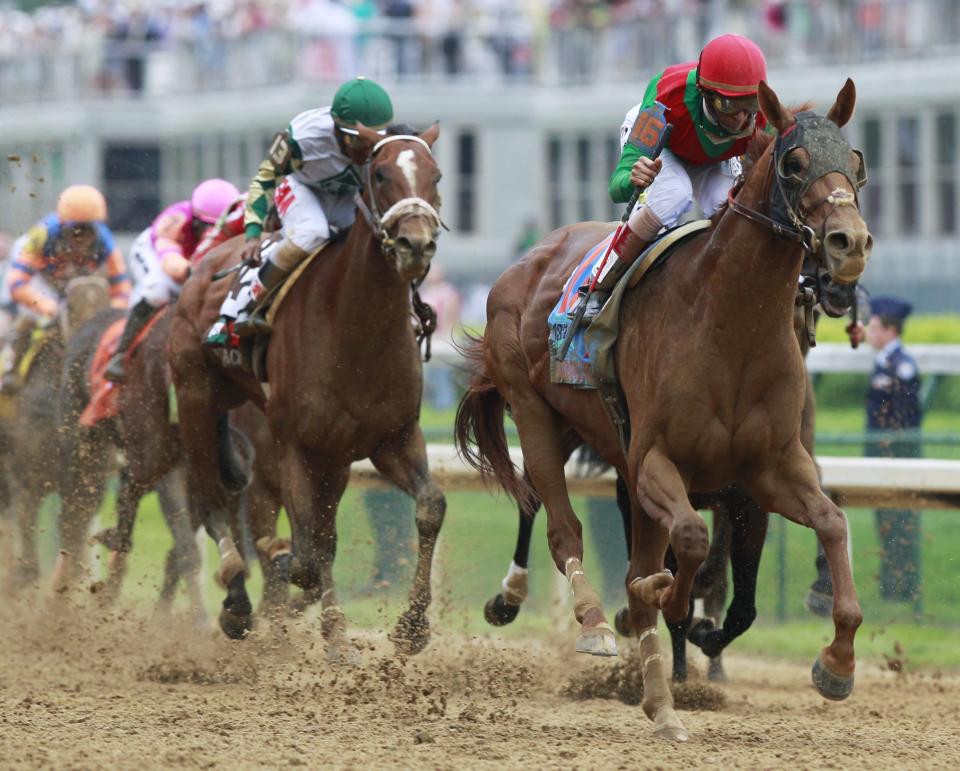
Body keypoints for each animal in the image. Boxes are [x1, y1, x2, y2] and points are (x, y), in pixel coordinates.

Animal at [169, 123, 446, 656]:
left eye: (436, 174)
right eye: (380, 175)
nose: (415, 245)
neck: (357, 331)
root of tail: (205, 263)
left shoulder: (392, 438)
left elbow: (429, 507)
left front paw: (412, 627)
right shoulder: (295, 443)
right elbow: (308, 554)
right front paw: (292, 583)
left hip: (323, 452)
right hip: (196, 396)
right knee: (212, 496)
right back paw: (236, 599)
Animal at [456, 80, 872, 740]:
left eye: (855, 163)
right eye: (794, 162)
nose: (848, 245)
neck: (731, 328)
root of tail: (527, 259)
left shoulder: (768, 472)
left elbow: (829, 524)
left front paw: (836, 663)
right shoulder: (654, 462)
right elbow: (688, 548)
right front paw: (663, 606)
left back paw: (660, 704)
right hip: (534, 408)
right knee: (557, 521)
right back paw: (590, 620)